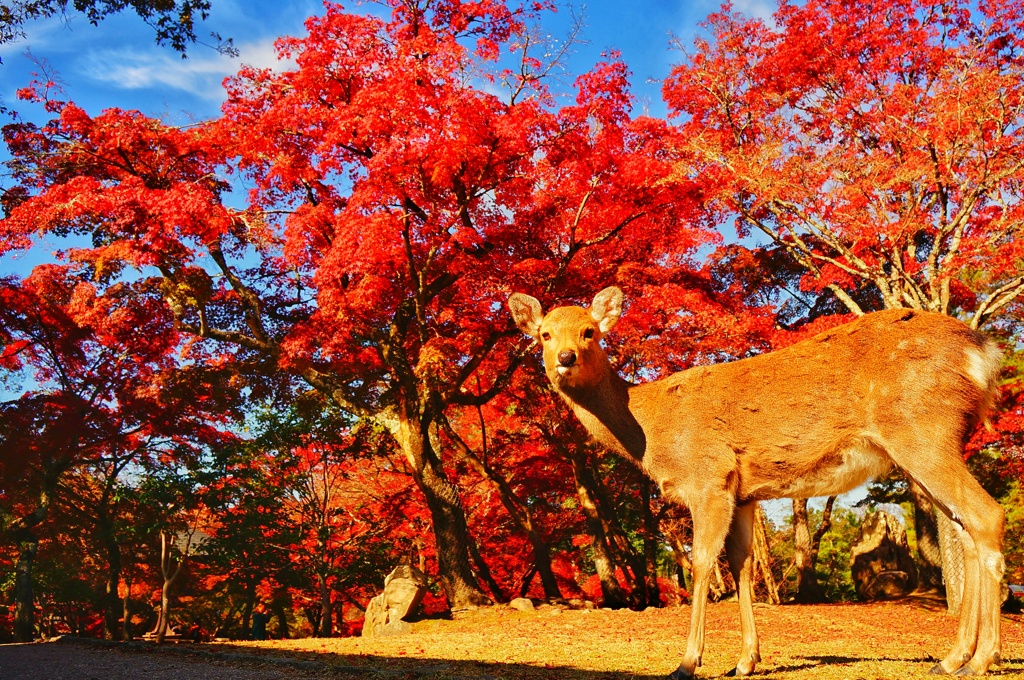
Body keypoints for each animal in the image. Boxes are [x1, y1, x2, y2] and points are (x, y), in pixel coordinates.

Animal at [507, 284, 1003, 675]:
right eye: (544, 334)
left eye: (589, 331)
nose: (565, 358)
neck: (651, 432)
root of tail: (983, 351)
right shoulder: (745, 493)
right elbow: (742, 563)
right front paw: (745, 660)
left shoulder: (709, 478)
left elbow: (702, 562)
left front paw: (688, 662)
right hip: (924, 448)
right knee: (963, 528)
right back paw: (953, 658)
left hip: (923, 430)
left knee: (987, 514)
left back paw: (979, 660)